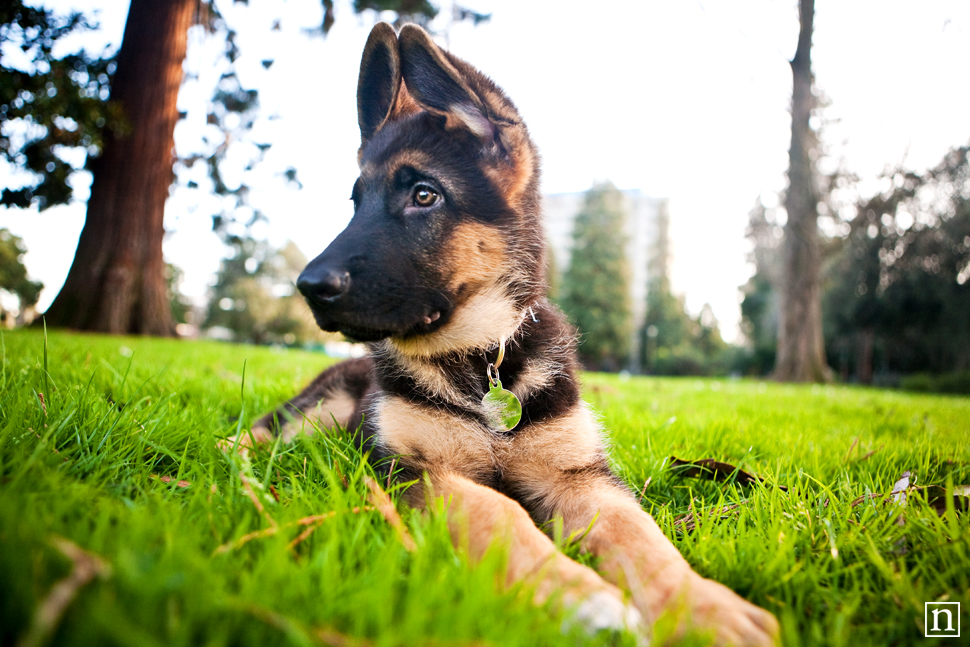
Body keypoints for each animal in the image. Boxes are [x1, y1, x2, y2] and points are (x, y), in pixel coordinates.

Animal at [233, 22, 780, 644]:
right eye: (356, 202)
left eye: (424, 195)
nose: (307, 286)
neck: (480, 358)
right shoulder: (410, 471)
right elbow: (499, 511)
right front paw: (577, 595)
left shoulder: (579, 477)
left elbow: (638, 532)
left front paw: (702, 606)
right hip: (314, 412)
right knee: (256, 433)